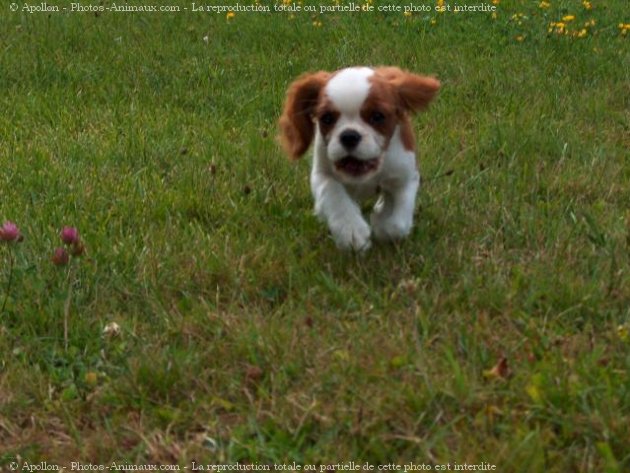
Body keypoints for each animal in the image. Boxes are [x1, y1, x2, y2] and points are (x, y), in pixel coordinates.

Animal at [282, 67, 440, 251]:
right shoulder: (322, 174)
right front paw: (351, 232)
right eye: (327, 118)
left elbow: (397, 222)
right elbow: (334, 195)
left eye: (377, 116)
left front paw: (382, 224)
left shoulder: (405, 175)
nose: (349, 136)